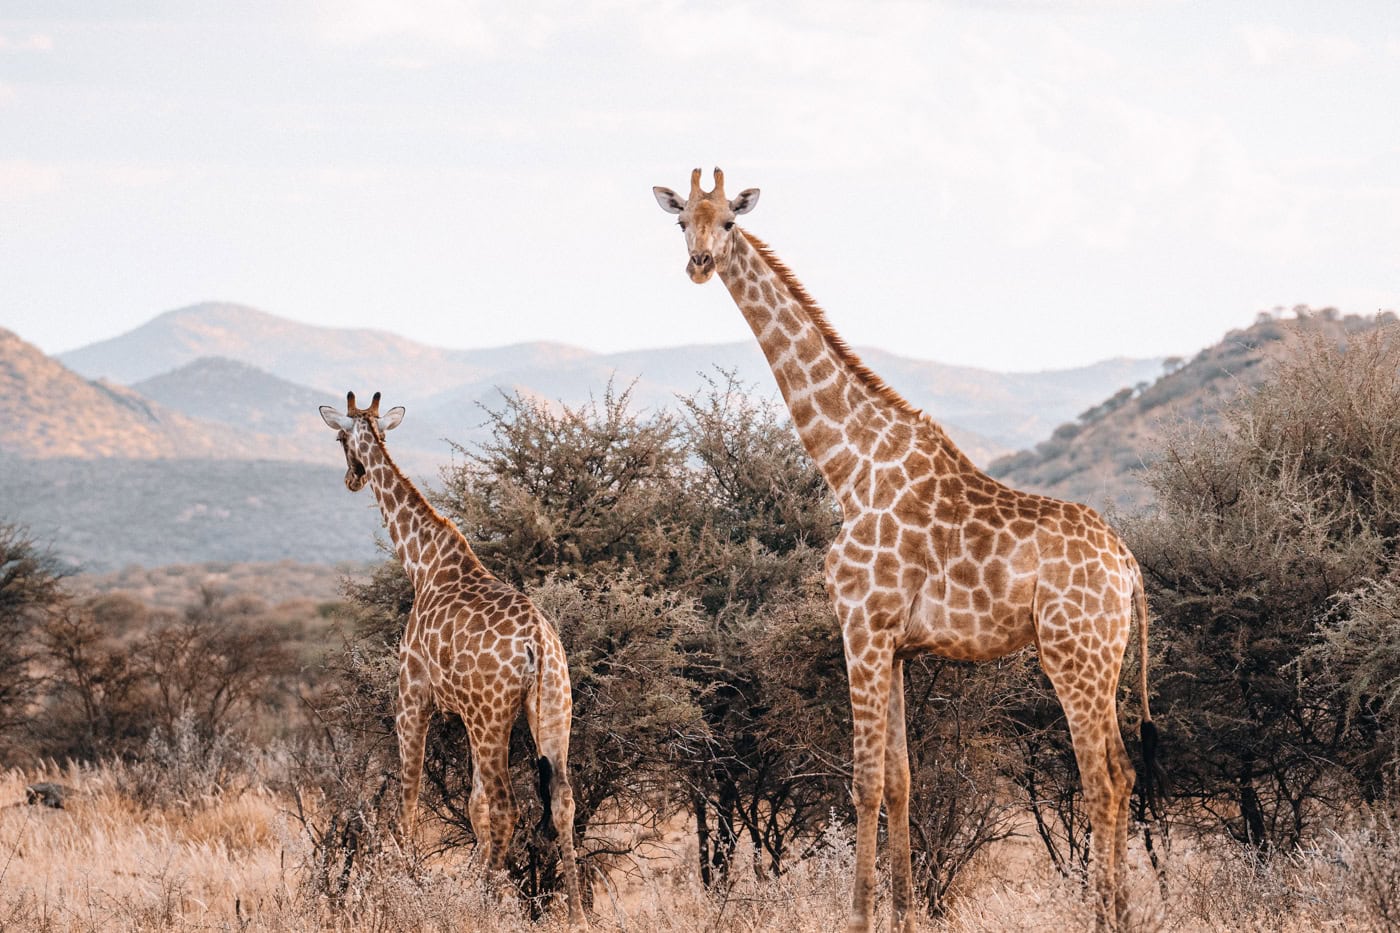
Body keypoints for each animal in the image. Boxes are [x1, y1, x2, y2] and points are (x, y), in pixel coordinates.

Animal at [319, 391, 586, 927]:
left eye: (339, 437)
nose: (352, 478)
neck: (421, 562)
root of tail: (538, 644)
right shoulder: (460, 712)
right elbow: (472, 802)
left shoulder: (412, 695)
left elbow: (409, 792)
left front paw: (403, 882)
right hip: (552, 708)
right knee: (561, 799)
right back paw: (577, 916)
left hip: (491, 716)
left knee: (506, 806)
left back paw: (484, 903)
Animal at [653, 169, 1159, 932]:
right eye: (682, 220)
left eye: (731, 223)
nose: (699, 264)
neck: (849, 465)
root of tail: (1126, 565)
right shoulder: (892, 642)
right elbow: (900, 781)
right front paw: (903, 915)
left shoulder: (861, 625)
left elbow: (861, 782)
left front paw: (859, 918)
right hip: (1102, 655)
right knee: (1123, 773)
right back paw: (1120, 912)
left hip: (1074, 652)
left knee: (1101, 779)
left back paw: (1103, 918)